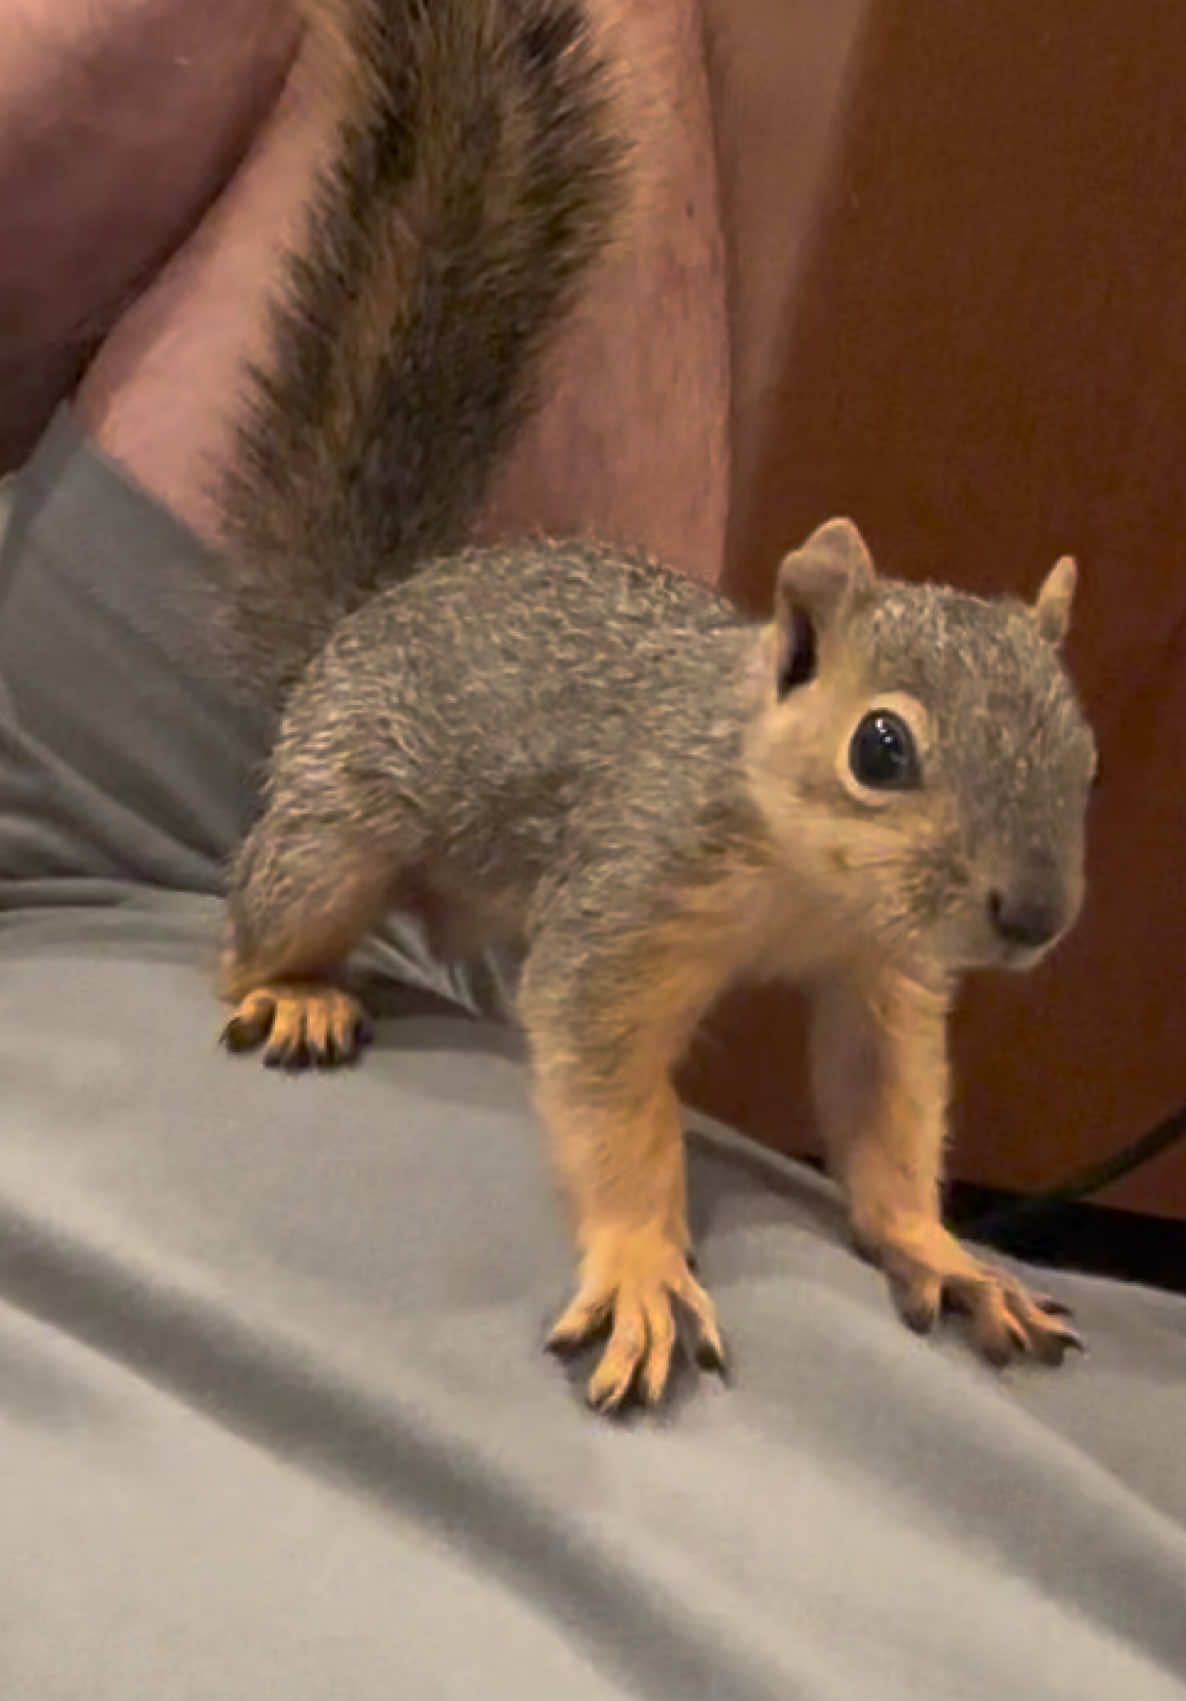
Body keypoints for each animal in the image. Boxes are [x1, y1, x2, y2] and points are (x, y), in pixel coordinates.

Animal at [214, 0, 1097, 1412]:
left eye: (1086, 754)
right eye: (881, 746)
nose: (1031, 918)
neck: (802, 878)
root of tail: (366, 616)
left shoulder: (880, 975)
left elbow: (885, 1113)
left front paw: (940, 1249)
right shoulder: (628, 901)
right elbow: (611, 1087)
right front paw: (639, 1264)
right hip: (333, 821)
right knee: (260, 920)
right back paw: (292, 989)